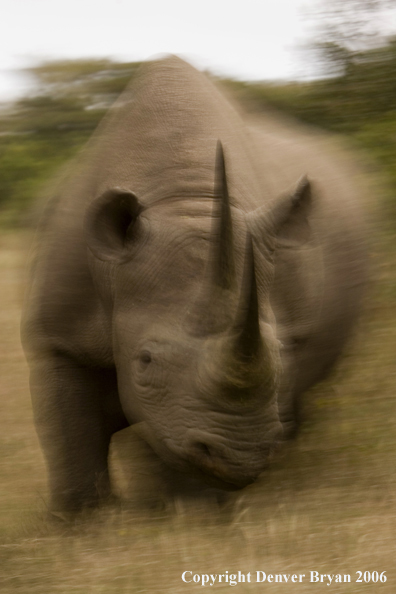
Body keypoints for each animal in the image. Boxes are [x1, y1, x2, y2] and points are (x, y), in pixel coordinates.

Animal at [21, 54, 366, 508]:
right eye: (145, 360)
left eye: (284, 351)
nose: (241, 455)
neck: (186, 197)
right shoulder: (59, 335)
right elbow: (71, 435)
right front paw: (82, 521)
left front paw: (194, 513)